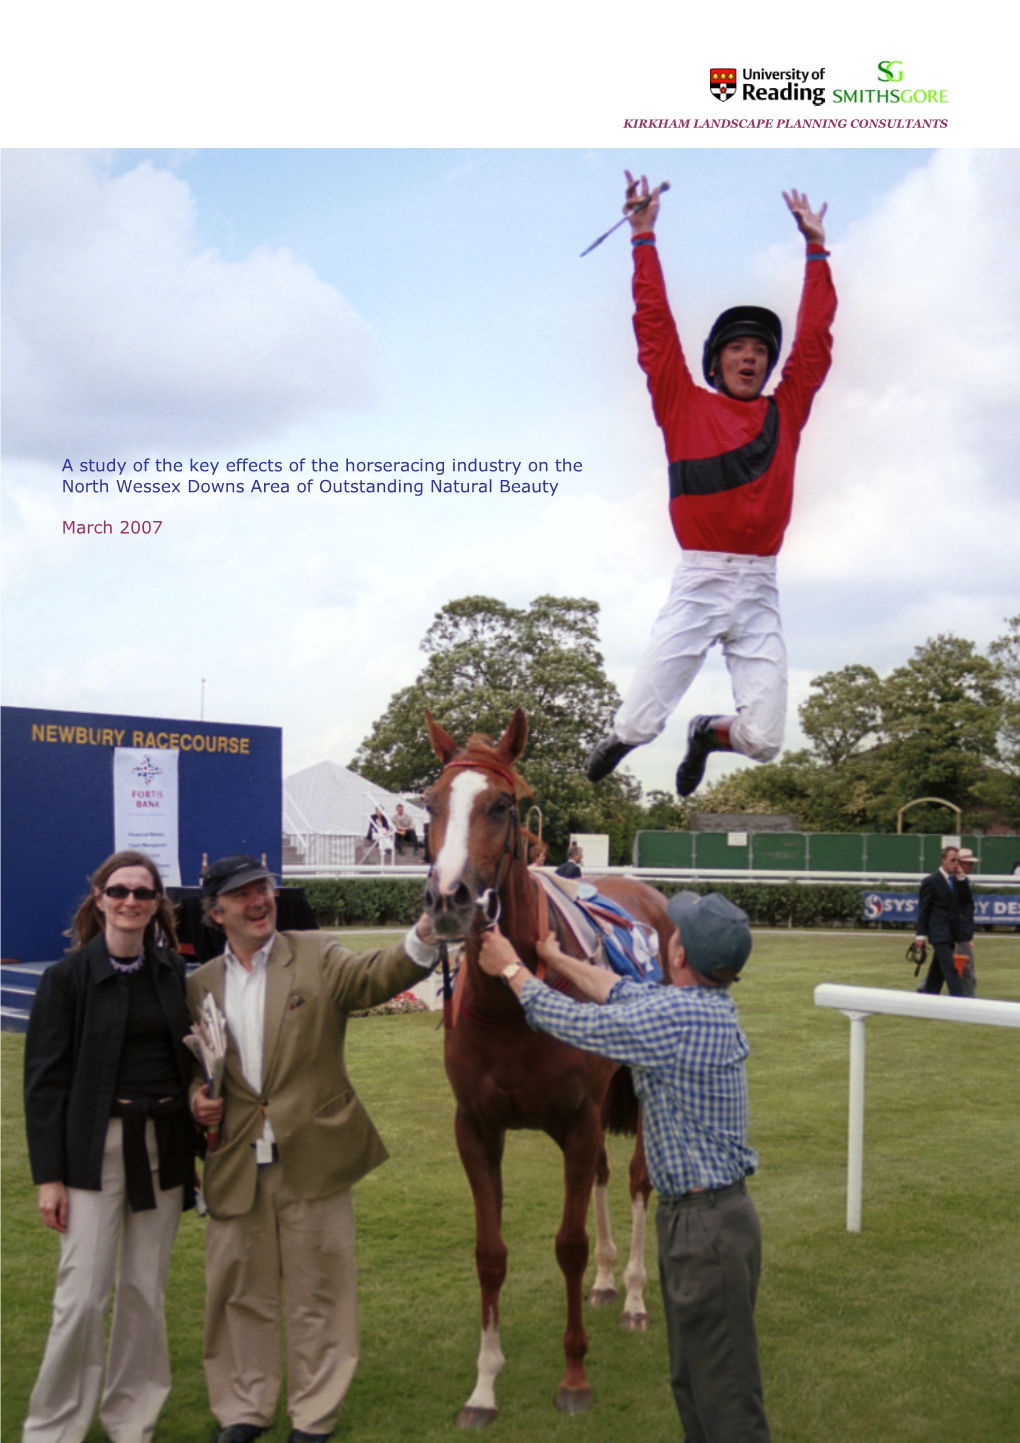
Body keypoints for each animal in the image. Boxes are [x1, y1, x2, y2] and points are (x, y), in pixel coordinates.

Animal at [424, 704, 678, 1425]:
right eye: (430, 804)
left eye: (502, 805)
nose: (449, 899)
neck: (511, 1003)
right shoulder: (477, 1128)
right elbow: (490, 1253)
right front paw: (484, 1384)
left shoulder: (577, 1119)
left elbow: (568, 1244)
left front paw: (574, 1376)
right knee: (602, 1176)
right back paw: (607, 1283)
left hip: (637, 1092)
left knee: (636, 1179)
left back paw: (633, 1295)